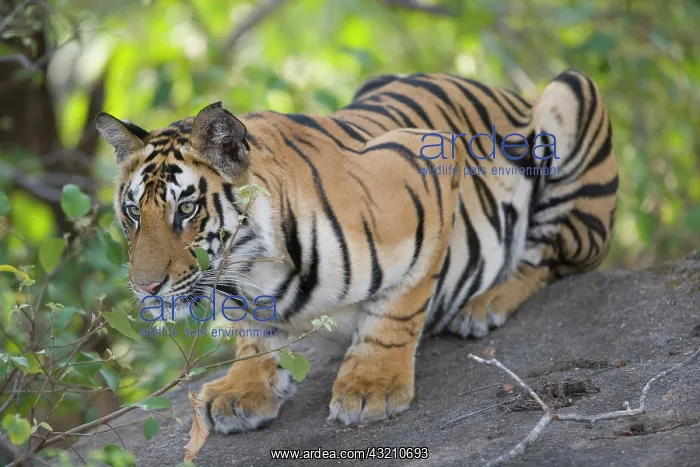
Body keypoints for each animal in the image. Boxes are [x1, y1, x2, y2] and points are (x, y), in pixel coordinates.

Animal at [95, 69, 618, 434]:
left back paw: (482, 306)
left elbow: (397, 312)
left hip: (573, 95)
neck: (255, 269)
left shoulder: (426, 169)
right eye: (133, 212)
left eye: (186, 209)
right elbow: (253, 334)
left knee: (547, 260)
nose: (145, 287)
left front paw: (371, 388)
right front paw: (243, 389)